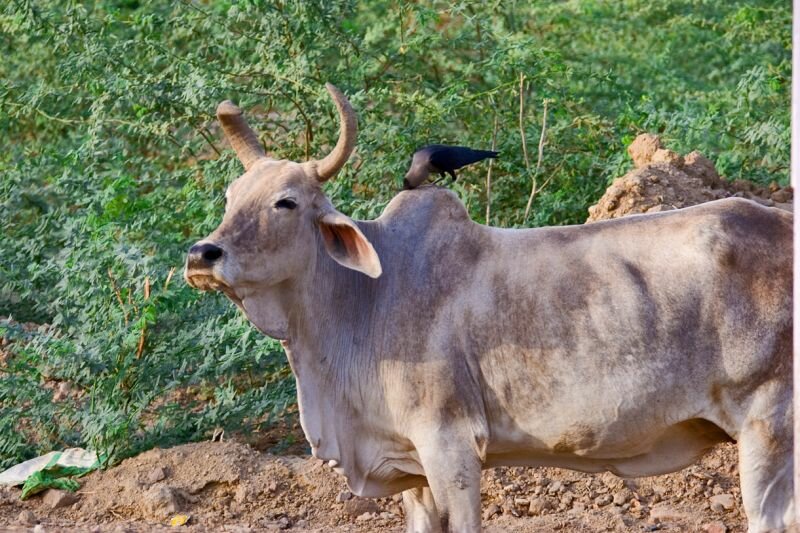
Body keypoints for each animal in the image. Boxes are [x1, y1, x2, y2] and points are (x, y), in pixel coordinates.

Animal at [186, 84, 792, 532]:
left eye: (286, 202)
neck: (364, 301)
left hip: (768, 424)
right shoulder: (412, 470)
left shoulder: (450, 447)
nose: (201, 254)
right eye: (230, 197)